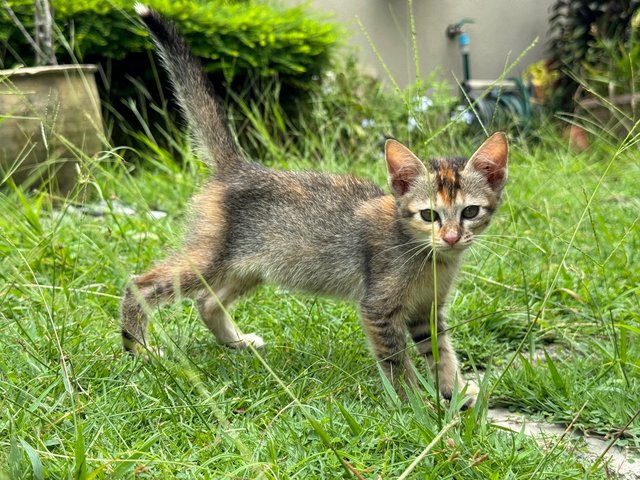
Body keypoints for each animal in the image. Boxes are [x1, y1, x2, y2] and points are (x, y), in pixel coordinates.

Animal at [122, 4, 508, 408]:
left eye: (469, 212)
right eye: (429, 215)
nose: (451, 238)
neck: (430, 260)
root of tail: (238, 166)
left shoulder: (427, 312)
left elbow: (441, 352)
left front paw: (456, 390)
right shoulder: (377, 309)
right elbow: (395, 358)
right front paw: (413, 402)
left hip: (251, 266)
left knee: (207, 302)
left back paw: (236, 342)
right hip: (211, 257)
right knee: (142, 283)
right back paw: (139, 349)